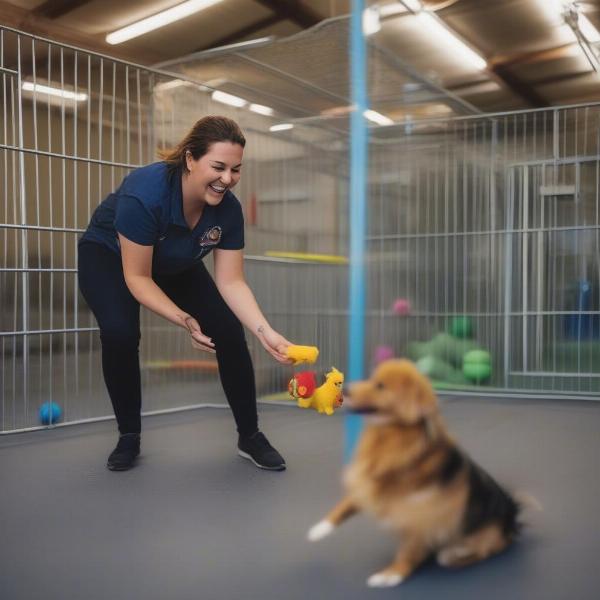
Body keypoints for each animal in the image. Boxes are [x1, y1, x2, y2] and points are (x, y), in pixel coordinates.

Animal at [308, 358, 516, 588]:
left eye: (380, 386)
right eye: (372, 378)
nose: (347, 388)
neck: (391, 436)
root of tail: (513, 518)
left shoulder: (419, 513)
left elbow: (408, 552)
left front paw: (391, 575)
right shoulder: (370, 483)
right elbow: (344, 506)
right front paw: (319, 529)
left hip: (482, 536)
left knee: (483, 551)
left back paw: (453, 553)